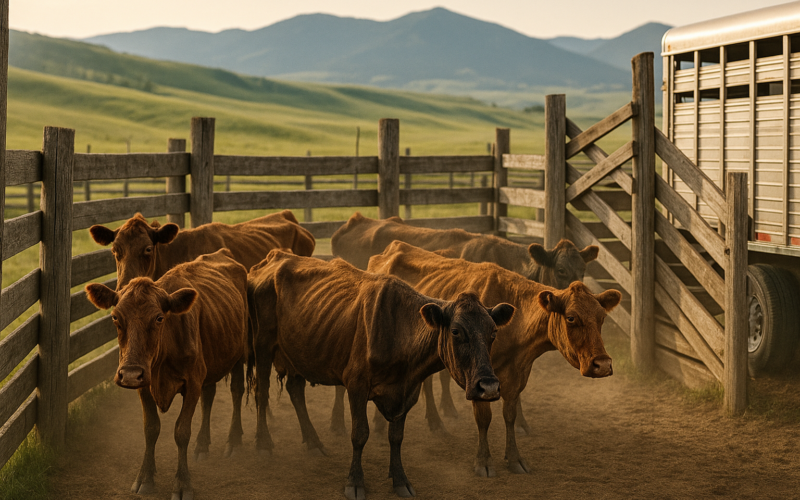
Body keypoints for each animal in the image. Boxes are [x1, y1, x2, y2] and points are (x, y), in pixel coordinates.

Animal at [85, 249, 248, 500]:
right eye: (115, 317)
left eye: (159, 318)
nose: (129, 374)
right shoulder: (145, 384)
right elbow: (151, 428)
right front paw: (145, 477)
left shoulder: (192, 382)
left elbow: (181, 431)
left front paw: (182, 483)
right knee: (209, 397)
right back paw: (202, 444)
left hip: (241, 352)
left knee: (237, 391)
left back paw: (234, 441)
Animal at [246, 250, 514, 499]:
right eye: (456, 331)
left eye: (493, 332)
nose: (488, 387)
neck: (399, 331)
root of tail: (275, 257)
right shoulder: (356, 385)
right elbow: (359, 434)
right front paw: (355, 482)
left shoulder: (407, 392)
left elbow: (396, 437)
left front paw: (400, 479)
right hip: (262, 343)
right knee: (261, 391)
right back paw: (263, 443)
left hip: (299, 351)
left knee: (295, 391)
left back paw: (313, 442)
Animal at [368, 241, 620, 477]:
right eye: (571, 318)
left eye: (601, 317)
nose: (602, 364)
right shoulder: (479, 379)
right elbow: (484, 418)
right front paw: (484, 462)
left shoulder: (517, 375)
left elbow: (510, 415)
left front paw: (515, 458)